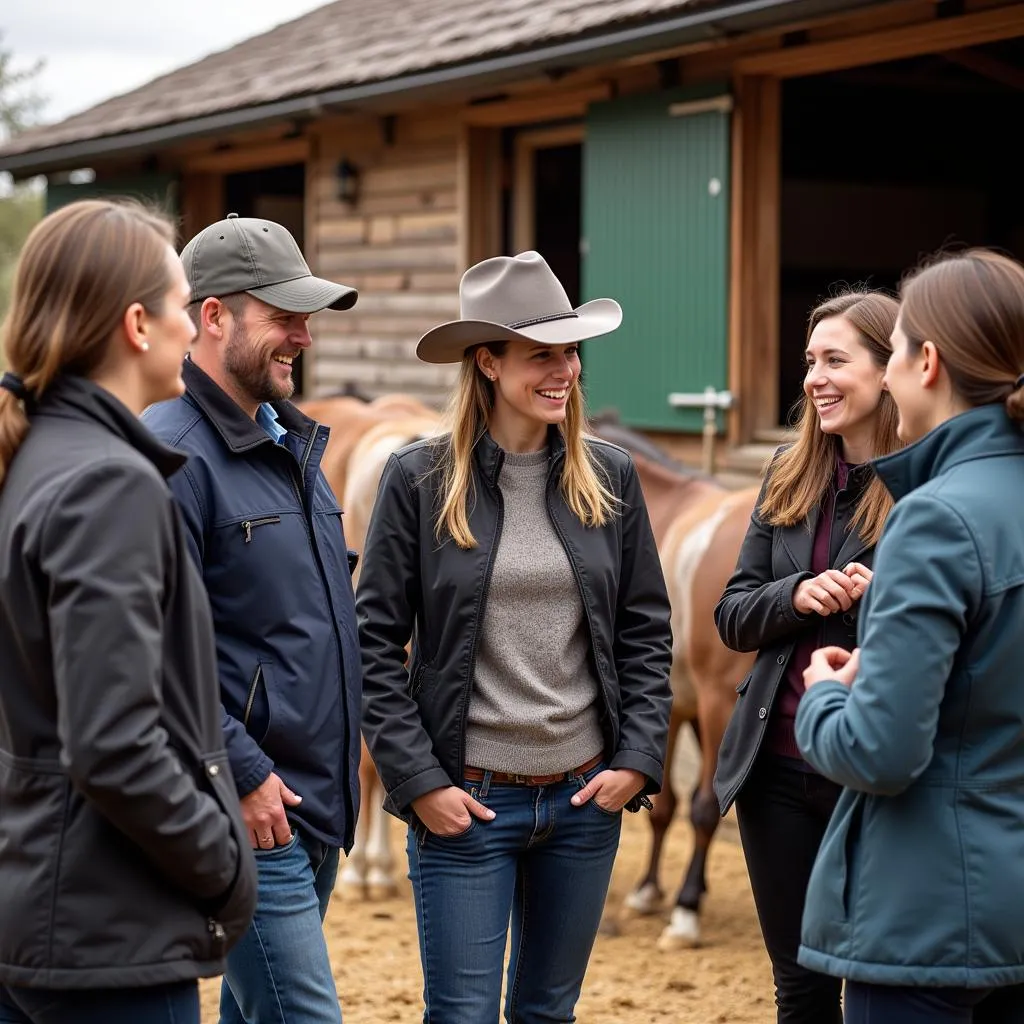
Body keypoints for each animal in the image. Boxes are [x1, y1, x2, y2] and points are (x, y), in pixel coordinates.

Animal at [593, 419, 761, 946]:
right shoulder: (685, 707)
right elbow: (666, 805)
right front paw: (652, 890)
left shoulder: (703, 706)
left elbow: (695, 804)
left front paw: (686, 908)